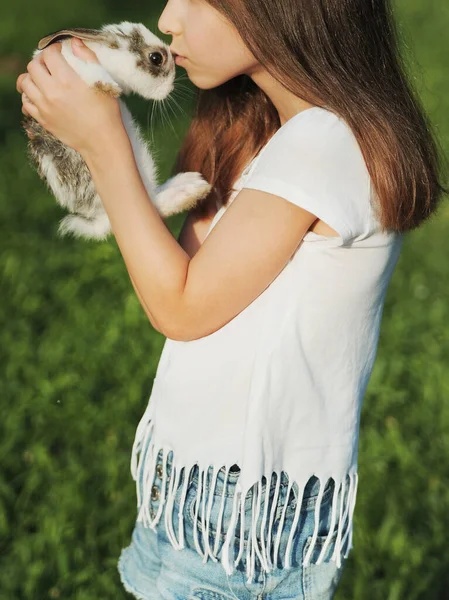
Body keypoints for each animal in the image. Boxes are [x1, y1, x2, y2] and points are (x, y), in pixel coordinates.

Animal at [23, 22, 214, 240]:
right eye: (156, 58)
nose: (170, 88)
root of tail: (100, 219)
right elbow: (84, 67)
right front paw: (108, 86)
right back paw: (191, 187)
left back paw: (192, 186)